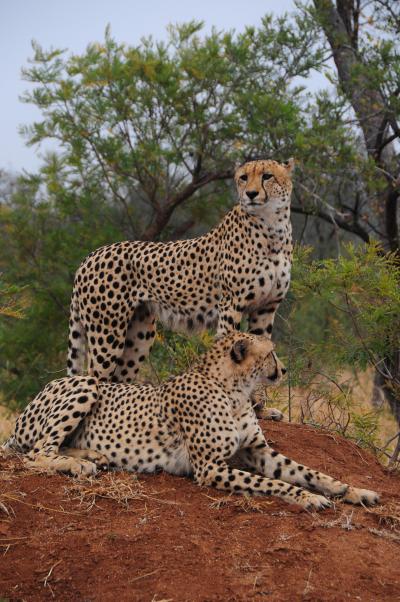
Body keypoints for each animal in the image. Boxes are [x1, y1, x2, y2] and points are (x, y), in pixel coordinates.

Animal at [4, 330, 380, 508]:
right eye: (271, 353)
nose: (284, 370)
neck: (233, 391)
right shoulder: (209, 467)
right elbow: (275, 484)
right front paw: (308, 498)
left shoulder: (259, 450)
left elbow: (309, 472)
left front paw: (352, 490)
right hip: (86, 383)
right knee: (37, 452)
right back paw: (78, 464)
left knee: (52, 446)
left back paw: (95, 456)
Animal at [68, 159, 294, 396]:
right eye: (243, 177)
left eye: (267, 176)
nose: (250, 194)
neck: (272, 227)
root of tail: (89, 257)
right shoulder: (231, 305)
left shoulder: (266, 307)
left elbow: (262, 351)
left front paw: (260, 402)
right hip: (107, 334)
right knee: (95, 375)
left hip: (139, 335)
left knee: (119, 378)